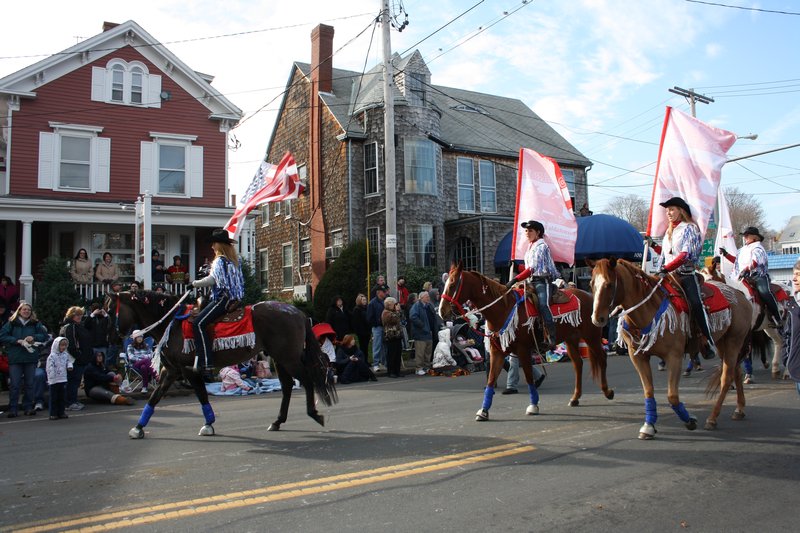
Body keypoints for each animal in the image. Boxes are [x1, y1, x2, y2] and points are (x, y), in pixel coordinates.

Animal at [104, 290, 338, 436]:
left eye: (109, 311)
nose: (110, 338)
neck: (172, 323)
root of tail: (297, 312)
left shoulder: (188, 369)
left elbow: (200, 394)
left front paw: (208, 424)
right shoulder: (171, 371)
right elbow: (155, 397)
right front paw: (138, 428)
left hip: (288, 358)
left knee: (307, 381)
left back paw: (314, 414)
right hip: (280, 359)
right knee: (288, 386)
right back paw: (277, 421)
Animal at [438, 262, 612, 420]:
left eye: (452, 284)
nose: (441, 311)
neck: (503, 309)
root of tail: (590, 296)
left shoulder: (523, 350)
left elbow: (528, 377)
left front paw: (533, 405)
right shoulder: (497, 352)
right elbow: (491, 380)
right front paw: (484, 411)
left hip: (591, 336)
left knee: (602, 358)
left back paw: (607, 392)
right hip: (571, 339)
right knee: (578, 364)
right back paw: (575, 398)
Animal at [592, 256, 752, 436]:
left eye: (609, 284)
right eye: (592, 283)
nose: (597, 318)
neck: (647, 309)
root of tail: (740, 295)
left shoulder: (674, 356)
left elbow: (672, 396)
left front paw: (689, 420)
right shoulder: (638, 356)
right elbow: (649, 391)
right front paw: (649, 425)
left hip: (734, 341)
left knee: (726, 378)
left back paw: (712, 418)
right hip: (722, 342)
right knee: (736, 372)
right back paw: (739, 409)